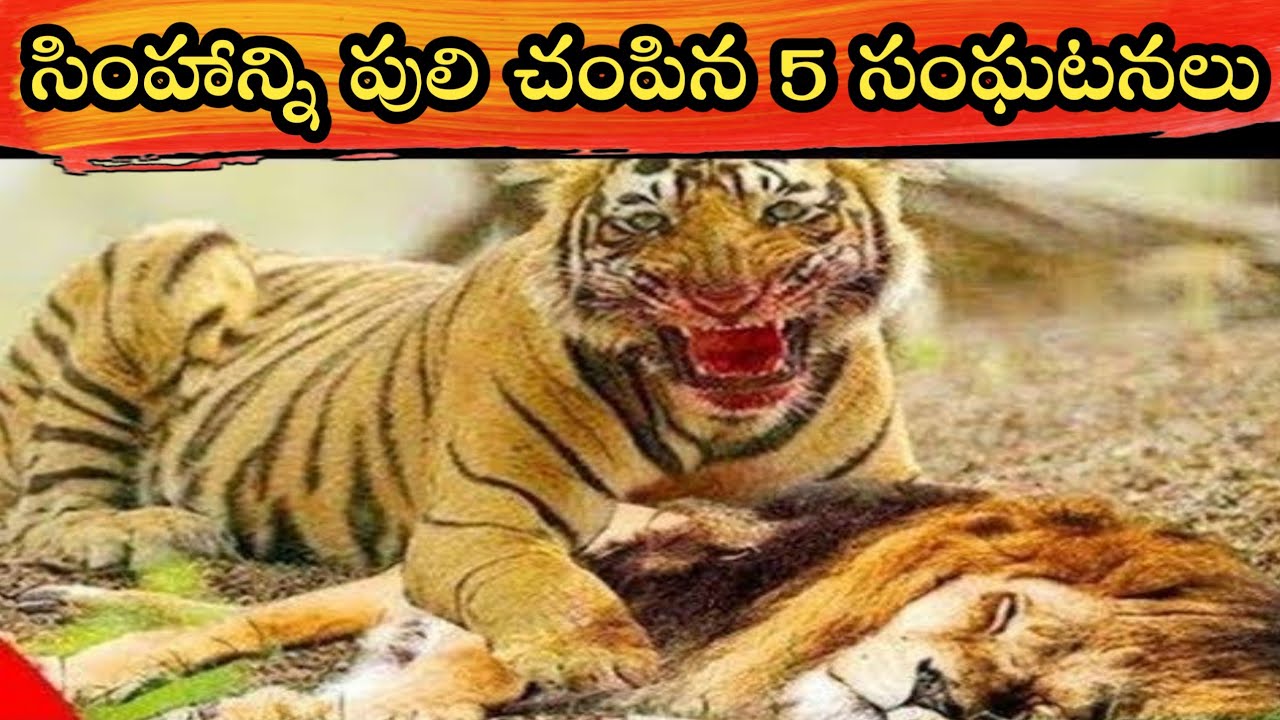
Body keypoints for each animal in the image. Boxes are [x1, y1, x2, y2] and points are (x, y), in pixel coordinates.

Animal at [0, 158, 925, 692]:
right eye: (647, 223)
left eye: (783, 215)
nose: (725, 298)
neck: (714, 421)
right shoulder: (481, 523)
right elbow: (546, 583)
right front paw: (590, 654)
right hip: (182, 252)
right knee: (43, 508)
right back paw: (136, 531)